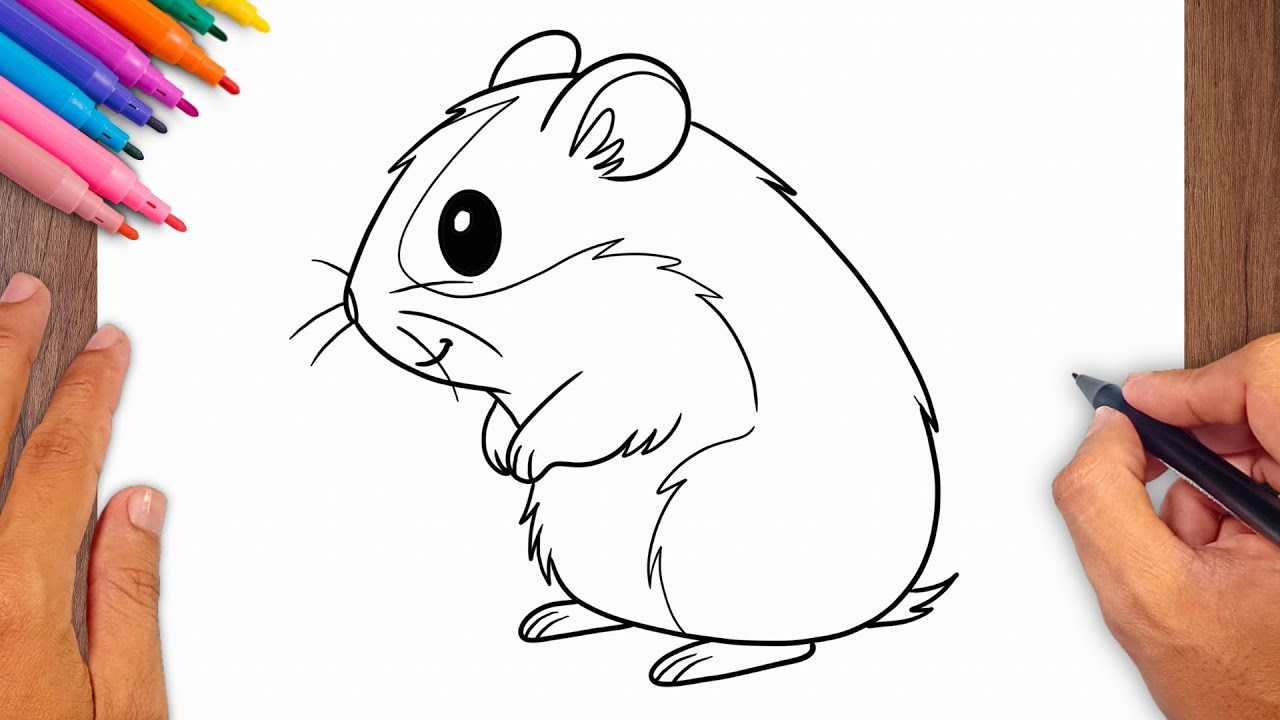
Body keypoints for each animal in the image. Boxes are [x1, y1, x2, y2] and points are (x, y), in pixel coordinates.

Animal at [337, 30, 955, 686]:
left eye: (467, 229)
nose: (353, 306)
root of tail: (883, 604)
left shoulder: (669, 355)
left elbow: (594, 410)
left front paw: (523, 455)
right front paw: (498, 451)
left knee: (788, 644)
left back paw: (695, 659)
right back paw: (559, 619)